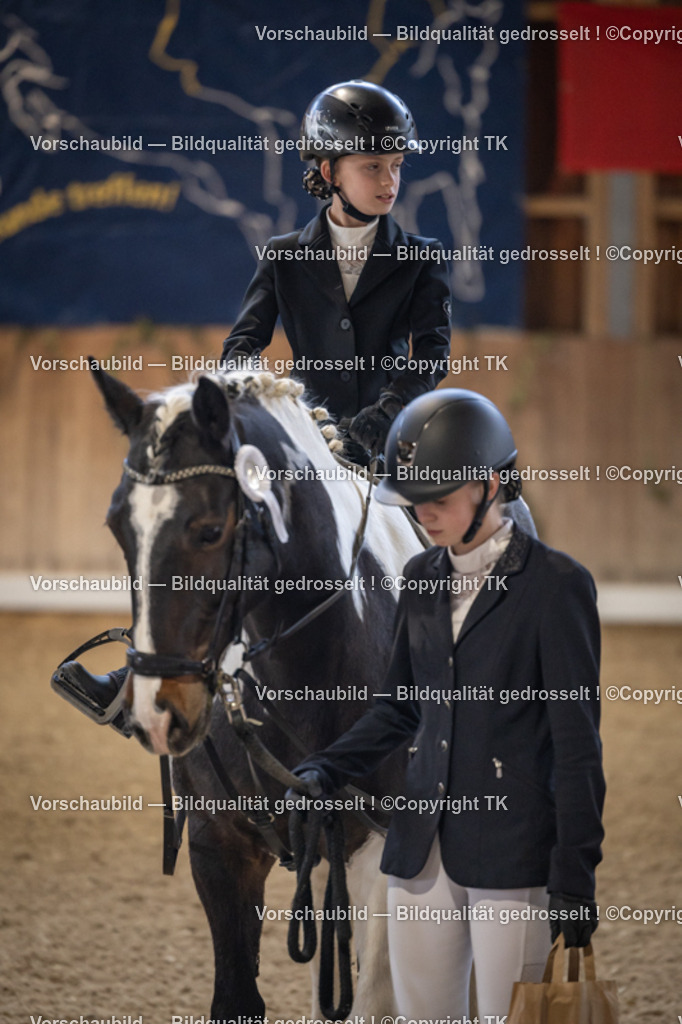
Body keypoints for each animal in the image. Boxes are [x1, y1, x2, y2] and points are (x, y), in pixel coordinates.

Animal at [91, 365, 426, 1018]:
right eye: (119, 527)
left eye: (209, 530)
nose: (160, 713)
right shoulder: (221, 846)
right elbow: (236, 997)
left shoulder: (381, 850)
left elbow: (378, 997)